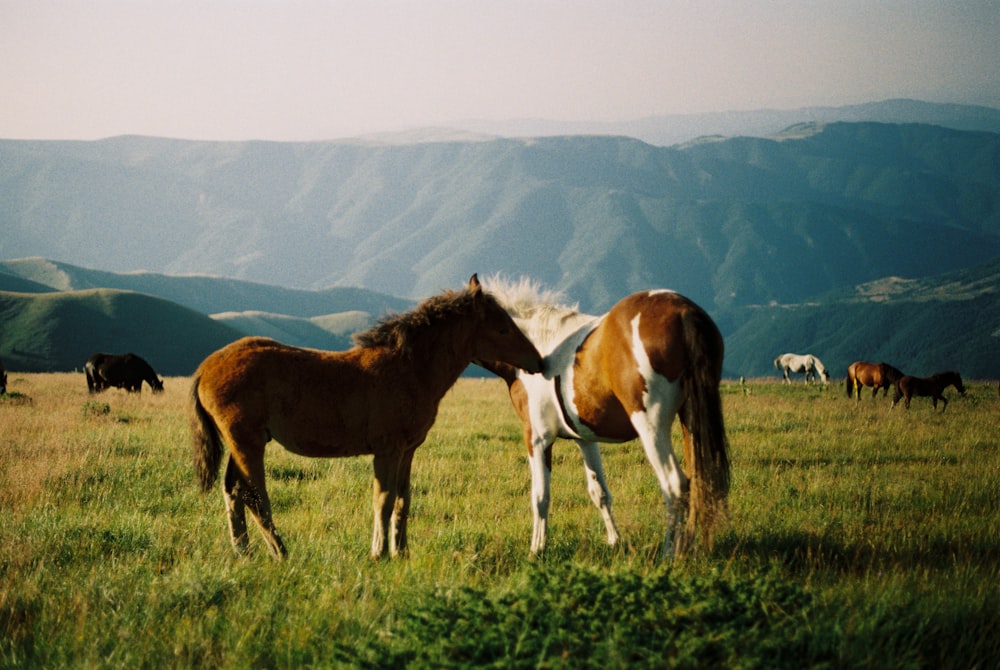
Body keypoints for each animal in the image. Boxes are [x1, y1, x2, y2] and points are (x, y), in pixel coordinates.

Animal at [191, 274, 544, 560]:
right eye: (503, 328)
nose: (538, 361)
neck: (411, 370)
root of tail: (206, 367)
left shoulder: (407, 451)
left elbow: (402, 501)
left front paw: (401, 552)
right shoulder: (387, 450)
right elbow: (383, 500)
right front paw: (379, 553)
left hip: (242, 444)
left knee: (233, 491)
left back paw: (244, 552)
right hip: (248, 444)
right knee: (255, 496)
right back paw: (280, 552)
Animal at [480, 278, 732, 560]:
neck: (540, 341)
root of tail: (683, 311)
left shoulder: (537, 439)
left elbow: (540, 497)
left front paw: (537, 548)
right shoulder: (586, 440)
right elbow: (599, 492)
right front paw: (614, 540)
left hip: (652, 428)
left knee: (675, 485)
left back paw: (669, 554)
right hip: (691, 421)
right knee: (700, 482)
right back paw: (687, 546)